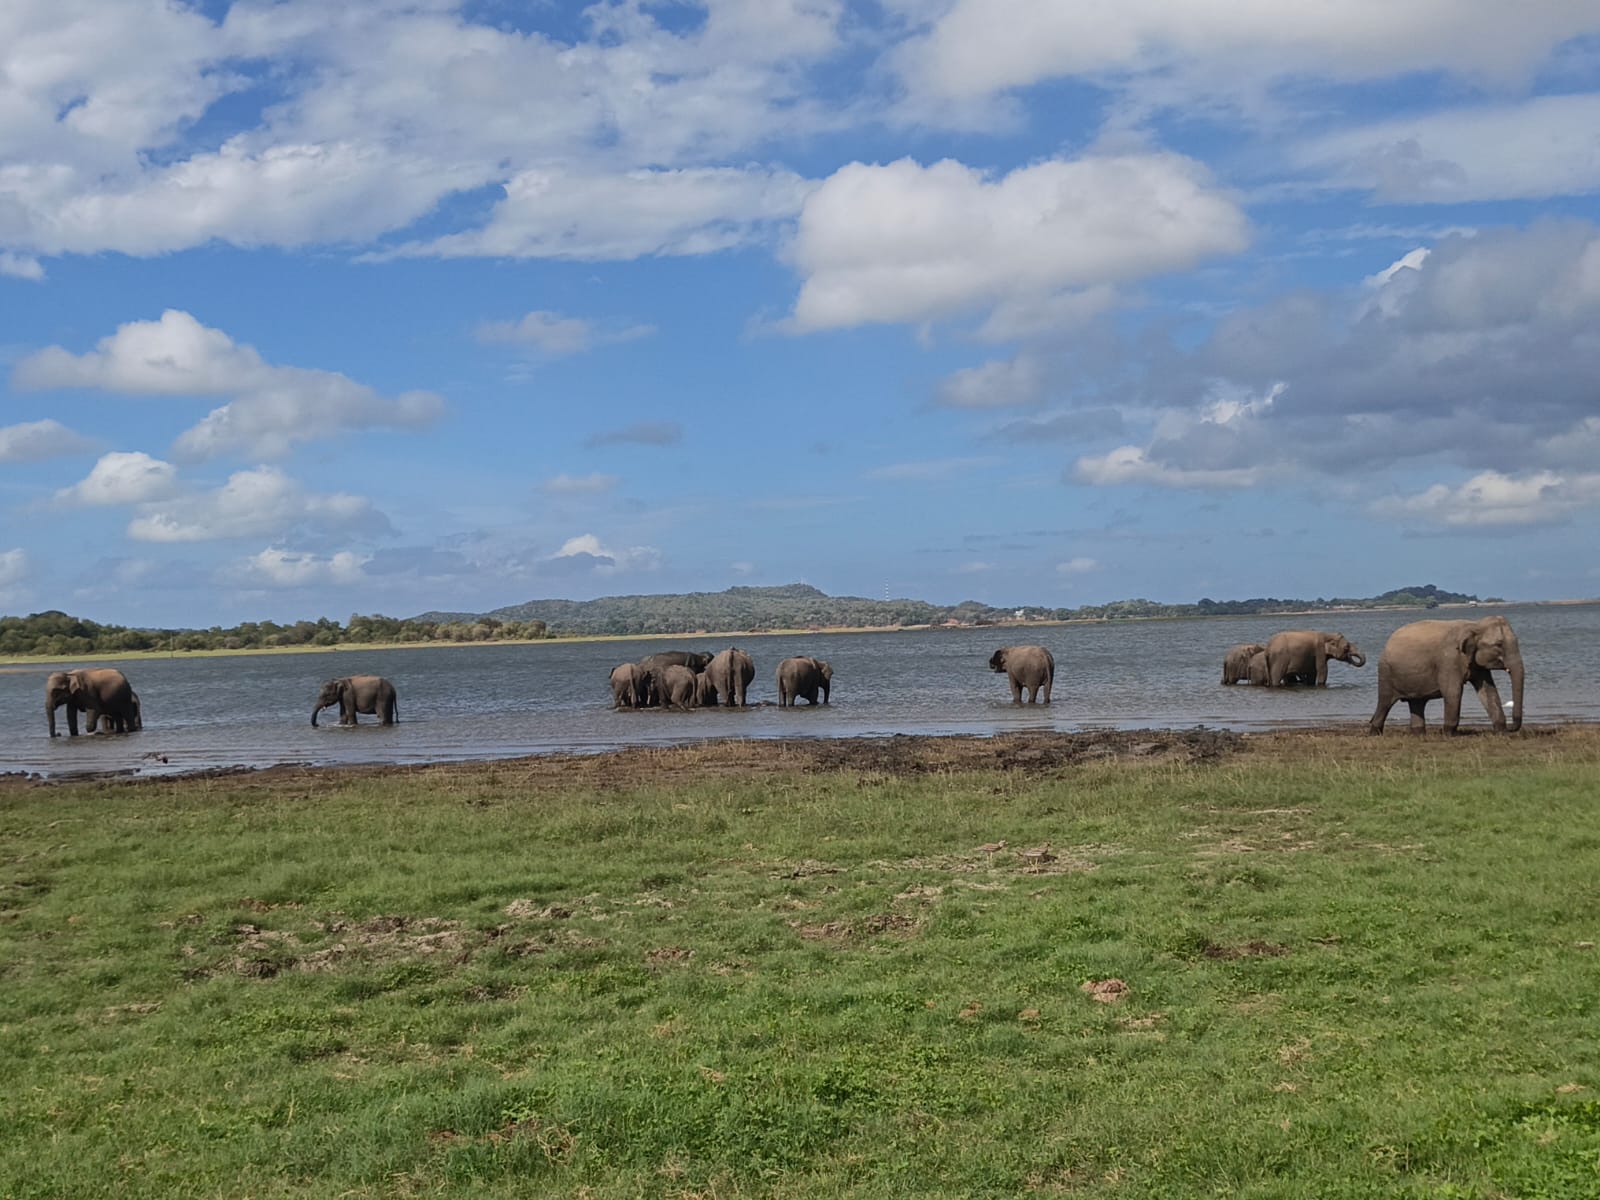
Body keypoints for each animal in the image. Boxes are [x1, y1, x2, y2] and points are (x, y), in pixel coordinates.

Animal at [1369, 615, 1525, 736]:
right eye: (1499, 645)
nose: (1510, 728)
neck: (1474, 624)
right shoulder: (1449, 659)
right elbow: (1453, 691)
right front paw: (1449, 734)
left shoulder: (1475, 662)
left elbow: (1488, 690)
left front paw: (1501, 732)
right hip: (1386, 672)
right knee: (1385, 701)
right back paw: (1375, 733)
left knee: (1417, 702)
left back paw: (1419, 734)